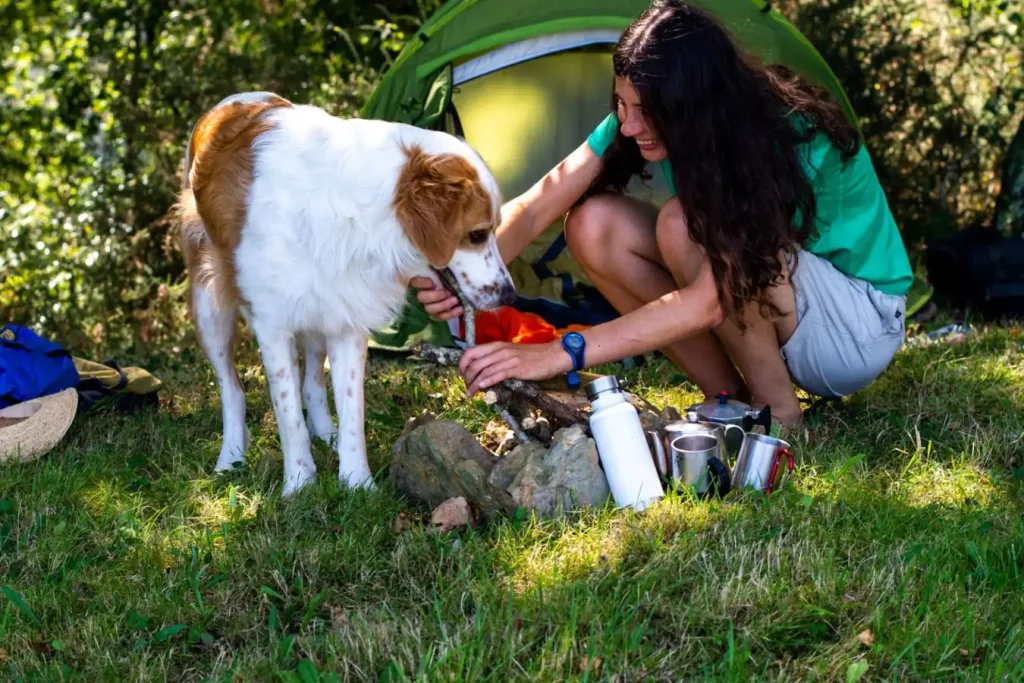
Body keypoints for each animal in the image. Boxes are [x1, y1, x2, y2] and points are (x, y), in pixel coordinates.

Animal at [176, 92, 516, 497]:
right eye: (477, 234)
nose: (510, 295)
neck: (358, 214)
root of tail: (232, 100)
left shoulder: (346, 320)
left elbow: (351, 410)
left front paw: (356, 483)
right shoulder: (272, 325)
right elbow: (288, 415)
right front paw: (300, 484)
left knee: (311, 385)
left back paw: (326, 435)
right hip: (210, 306)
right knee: (232, 389)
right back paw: (231, 456)